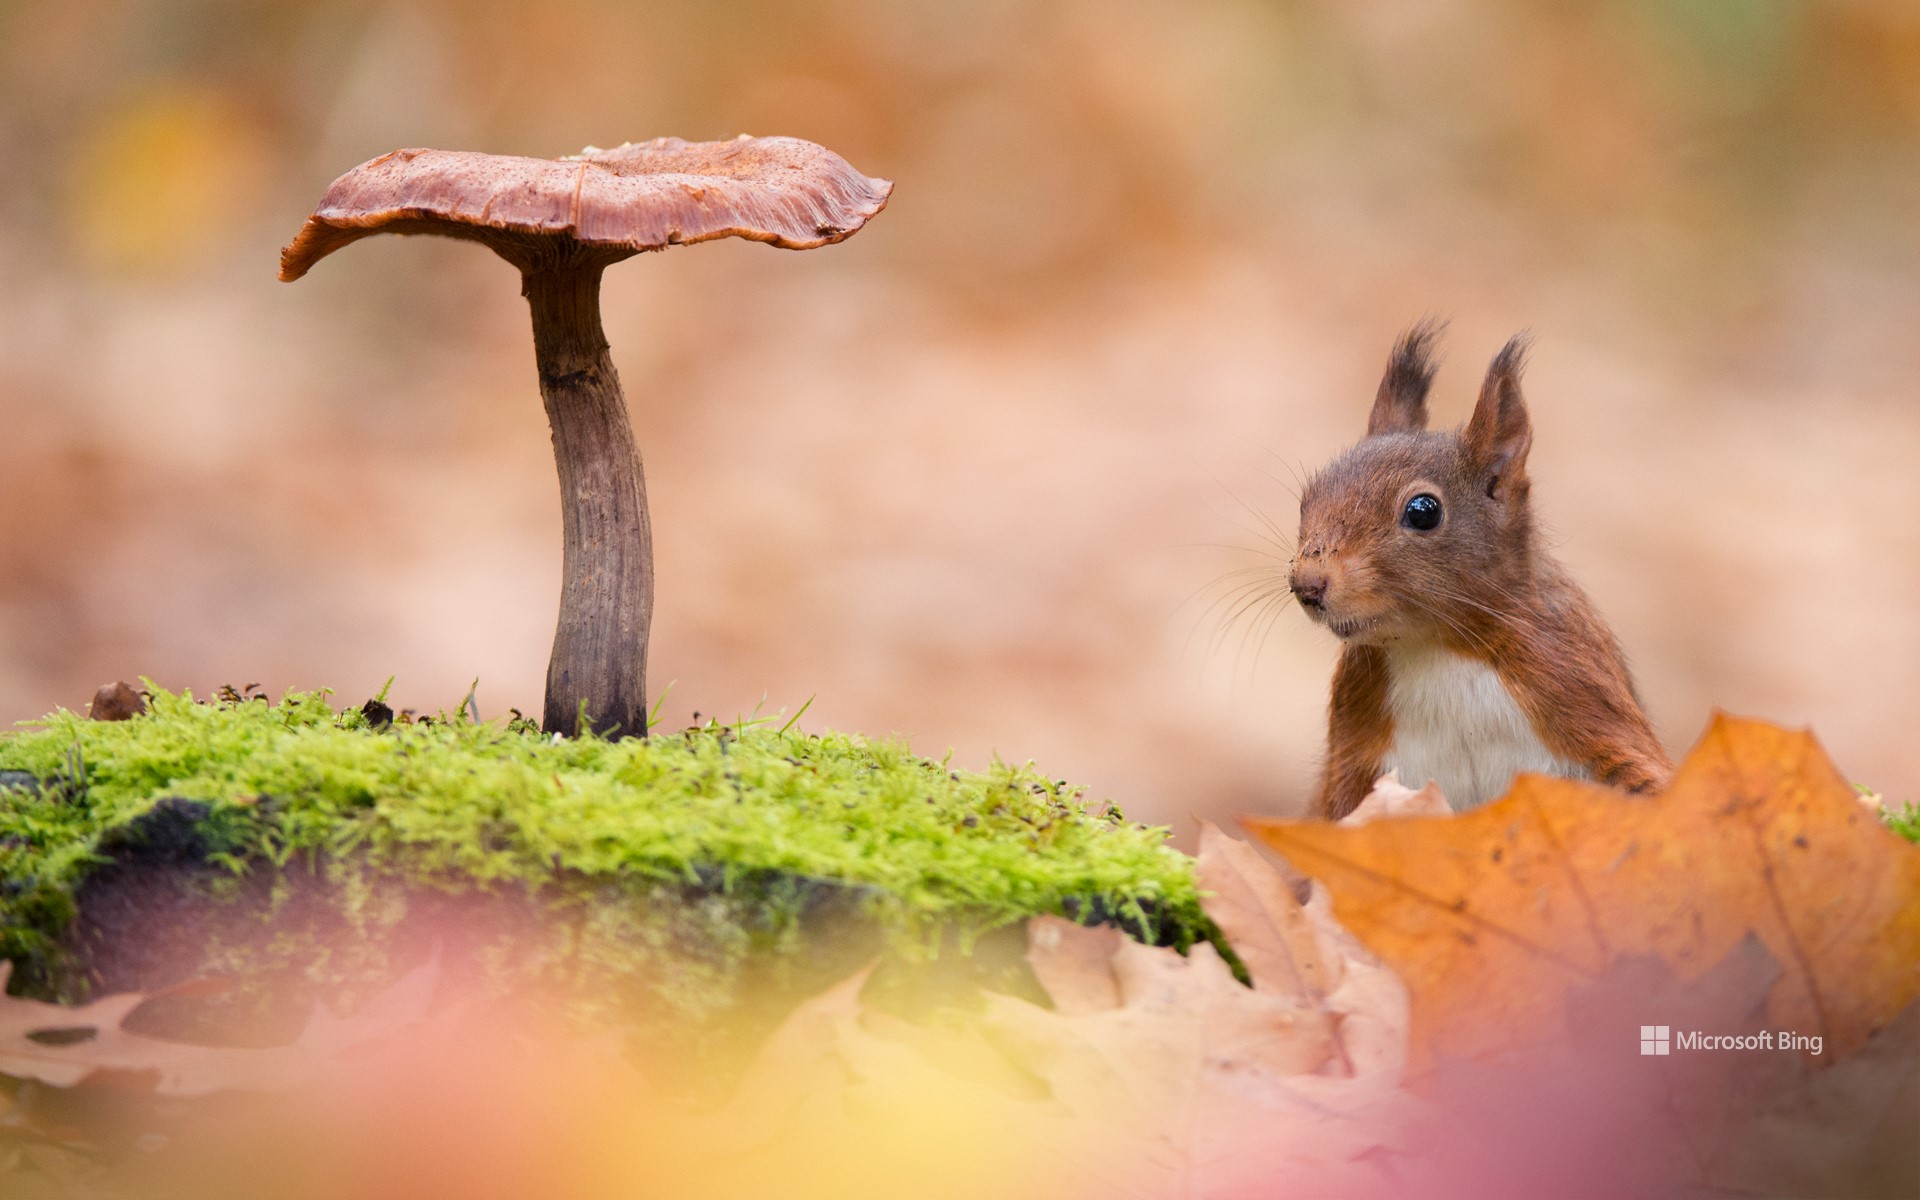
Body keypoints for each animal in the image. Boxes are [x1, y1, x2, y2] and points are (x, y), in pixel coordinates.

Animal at [1297, 322, 1674, 817]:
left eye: (1423, 511)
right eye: (1306, 498)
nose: (1306, 584)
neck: (1440, 649)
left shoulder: (1579, 689)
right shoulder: (1353, 745)